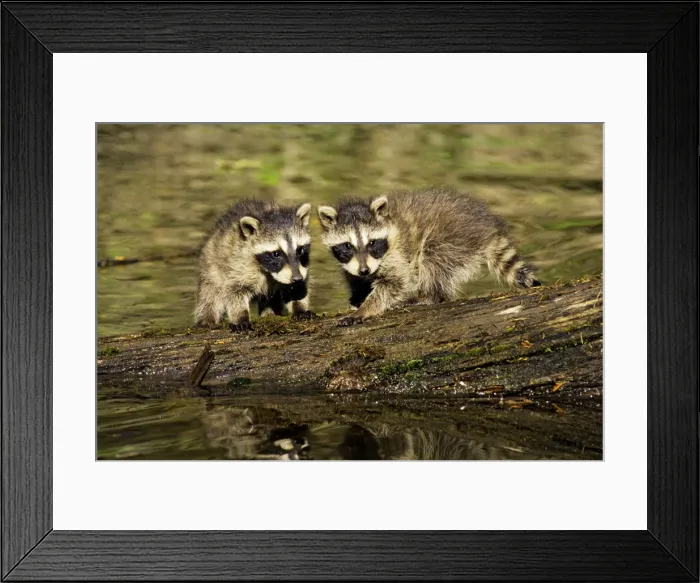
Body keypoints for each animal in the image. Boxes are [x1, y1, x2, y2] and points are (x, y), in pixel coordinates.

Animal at [194, 199, 313, 332]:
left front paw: (299, 307)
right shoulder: (237, 263)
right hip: (211, 266)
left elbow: (298, 288)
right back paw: (207, 319)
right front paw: (240, 316)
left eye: (300, 250)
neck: (268, 271)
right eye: (276, 253)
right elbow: (234, 291)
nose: (297, 278)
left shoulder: (301, 267)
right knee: (210, 296)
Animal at [317, 187, 540, 326]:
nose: (365, 270)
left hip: (450, 239)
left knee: (432, 260)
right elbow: (354, 277)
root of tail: (487, 227)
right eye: (347, 246)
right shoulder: (352, 264)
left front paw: (366, 309)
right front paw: (358, 294)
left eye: (372, 243)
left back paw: (428, 296)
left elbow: (394, 284)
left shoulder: (397, 255)